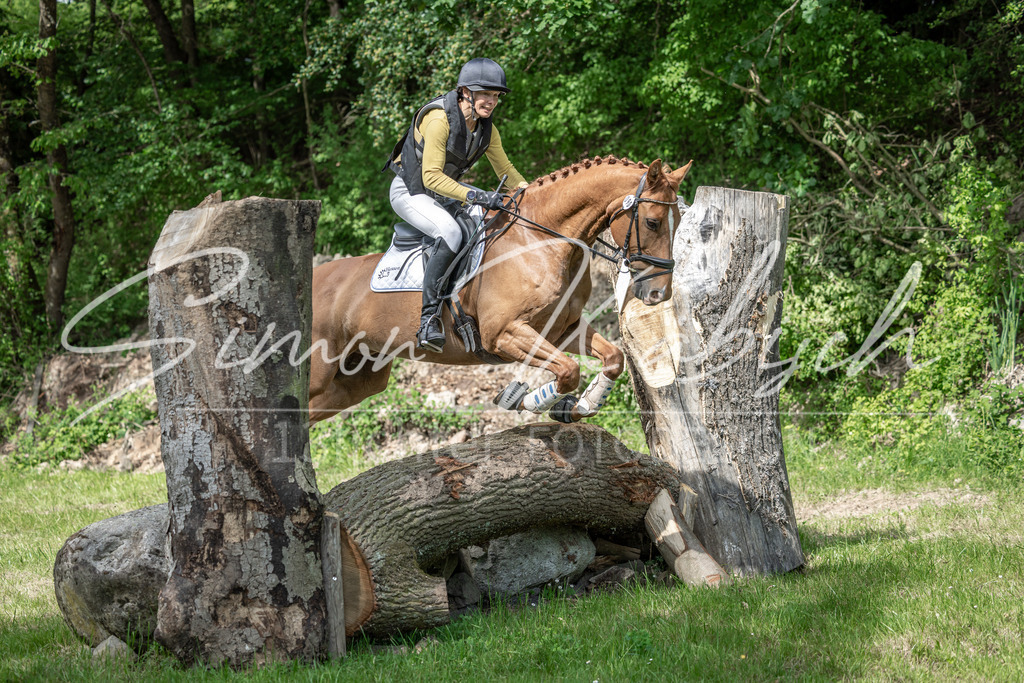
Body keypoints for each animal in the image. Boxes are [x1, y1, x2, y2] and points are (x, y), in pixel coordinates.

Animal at [309, 156, 692, 424]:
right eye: (653, 222)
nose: (658, 294)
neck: (542, 239)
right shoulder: (504, 334)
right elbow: (568, 371)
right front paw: (522, 399)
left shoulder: (562, 328)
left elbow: (612, 358)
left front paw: (576, 407)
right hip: (319, 368)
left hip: (358, 378)